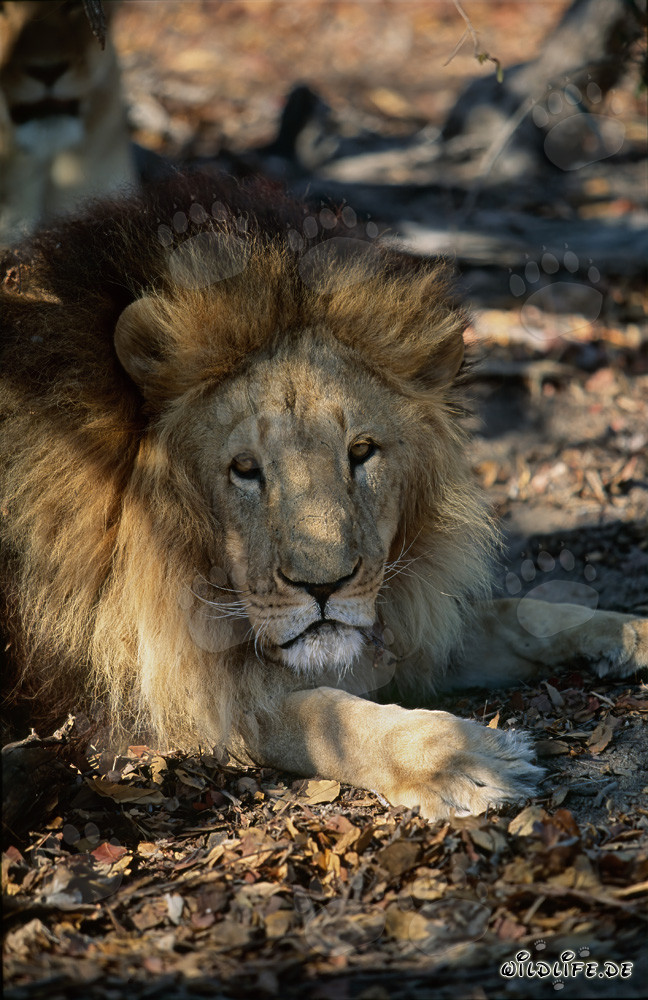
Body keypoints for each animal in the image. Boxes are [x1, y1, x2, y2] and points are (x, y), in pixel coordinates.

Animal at [1, 173, 646, 820]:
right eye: (244, 469)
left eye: (361, 451)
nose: (324, 587)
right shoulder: (174, 703)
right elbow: (327, 714)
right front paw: (460, 758)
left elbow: (519, 612)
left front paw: (629, 633)